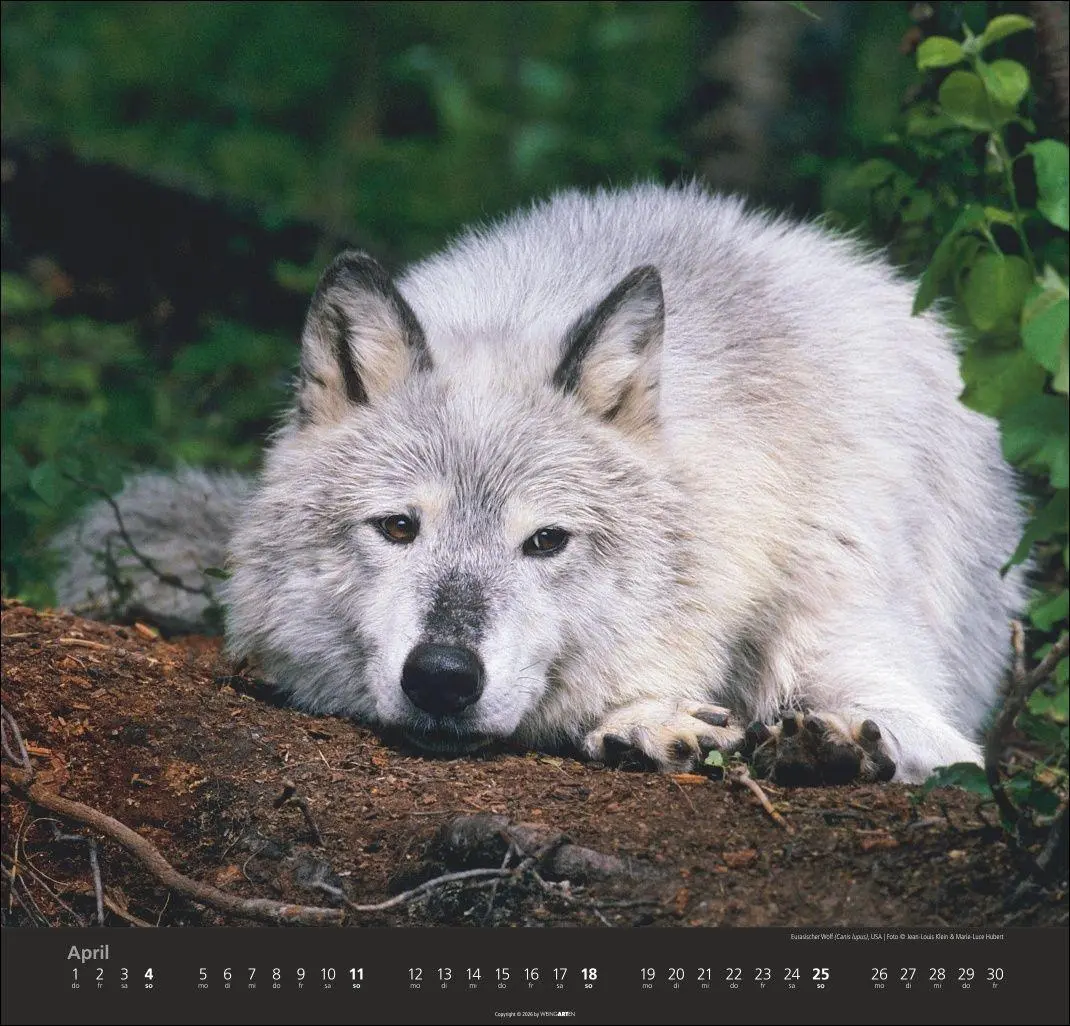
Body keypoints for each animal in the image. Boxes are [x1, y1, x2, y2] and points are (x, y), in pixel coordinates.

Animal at [56, 183, 1025, 784]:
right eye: (398, 527)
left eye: (546, 541)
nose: (442, 677)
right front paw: (648, 721)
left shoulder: (885, 674)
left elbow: (904, 729)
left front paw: (827, 743)